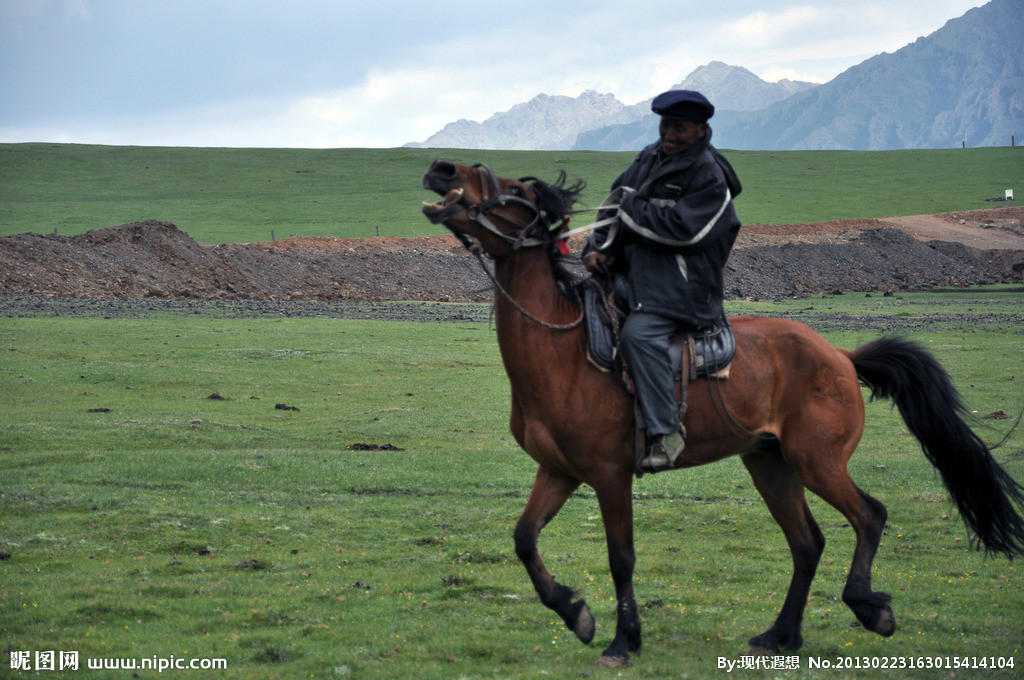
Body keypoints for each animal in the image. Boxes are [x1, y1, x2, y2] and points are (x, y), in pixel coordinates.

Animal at [417, 161, 1024, 667]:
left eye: (516, 191)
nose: (441, 168)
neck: (563, 351)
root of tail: (841, 357)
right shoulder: (560, 471)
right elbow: (524, 539)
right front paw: (576, 613)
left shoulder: (610, 474)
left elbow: (621, 556)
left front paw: (622, 641)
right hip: (771, 465)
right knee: (807, 543)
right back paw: (782, 635)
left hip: (817, 461)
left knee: (868, 516)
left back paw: (869, 609)